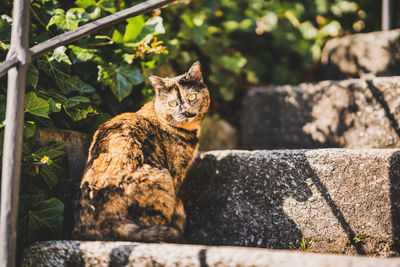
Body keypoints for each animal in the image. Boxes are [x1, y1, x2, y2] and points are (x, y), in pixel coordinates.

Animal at [72, 62, 209, 243]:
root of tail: (106, 220)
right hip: (163, 178)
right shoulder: (177, 173)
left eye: (192, 97)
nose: (187, 112)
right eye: (172, 103)